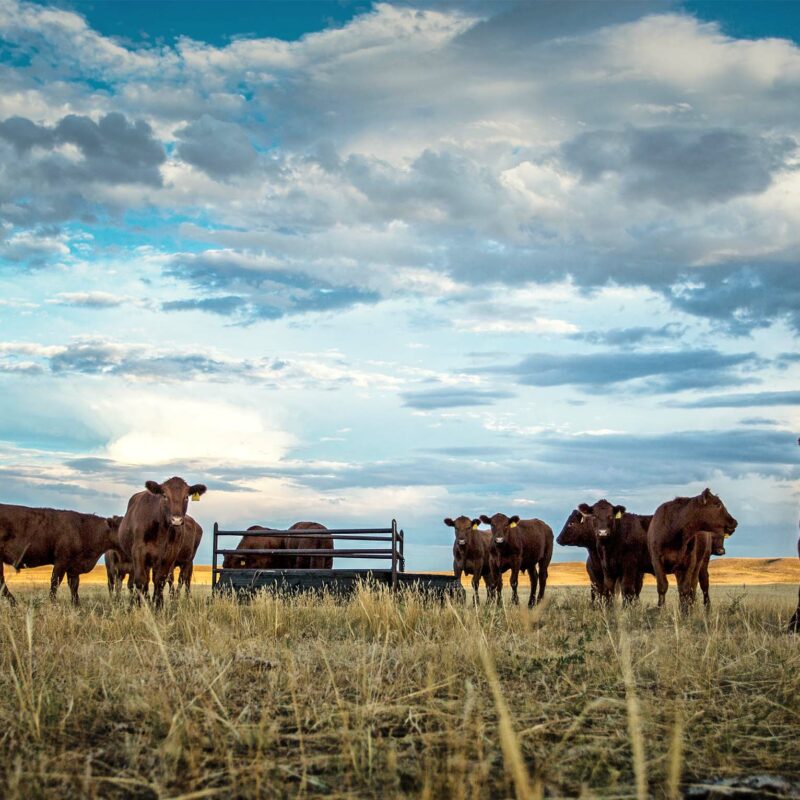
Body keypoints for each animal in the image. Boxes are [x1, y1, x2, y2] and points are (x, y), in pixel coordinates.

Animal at [118, 476, 208, 608]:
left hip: (188, 560)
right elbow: (141, 581)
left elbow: (160, 580)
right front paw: (144, 605)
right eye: (164, 495)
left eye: (186, 496)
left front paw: (158, 605)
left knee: (183, 578)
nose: (176, 520)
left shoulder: (169, 555)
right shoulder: (138, 553)